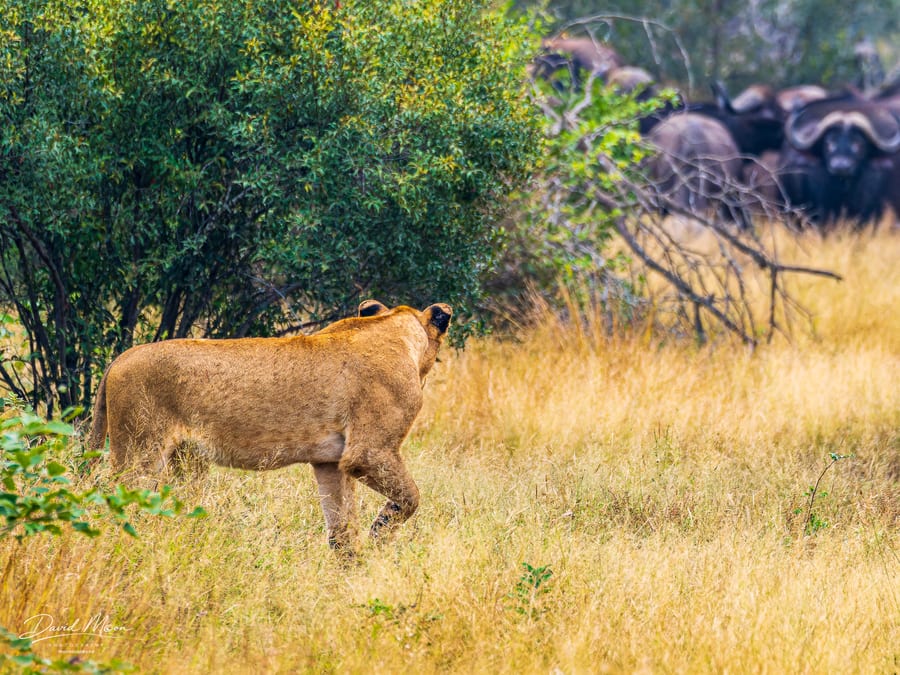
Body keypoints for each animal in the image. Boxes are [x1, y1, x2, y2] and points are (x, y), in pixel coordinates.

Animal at [88, 300, 452, 551]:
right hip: (140, 452)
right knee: (114, 502)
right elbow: (411, 497)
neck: (395, 330)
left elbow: (342, 527)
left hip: (185, 460)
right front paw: (381, 532)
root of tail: (118, 359)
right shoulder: (368, 453)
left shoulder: (330, 462)